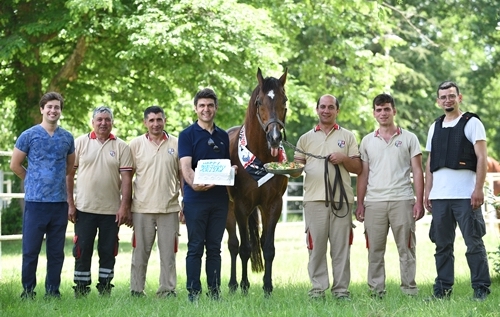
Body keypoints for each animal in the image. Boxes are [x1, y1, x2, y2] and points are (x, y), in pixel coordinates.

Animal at [227, 68, 290, 296]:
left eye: (284, 100)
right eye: (259, 102)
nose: (274, 137)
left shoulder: (272, 205)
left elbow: (268, 247)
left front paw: (268, 287)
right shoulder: (241, 207)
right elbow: (244, 248)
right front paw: (245, 286)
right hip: (229, 210)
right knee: (233, 244)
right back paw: (233, 284)